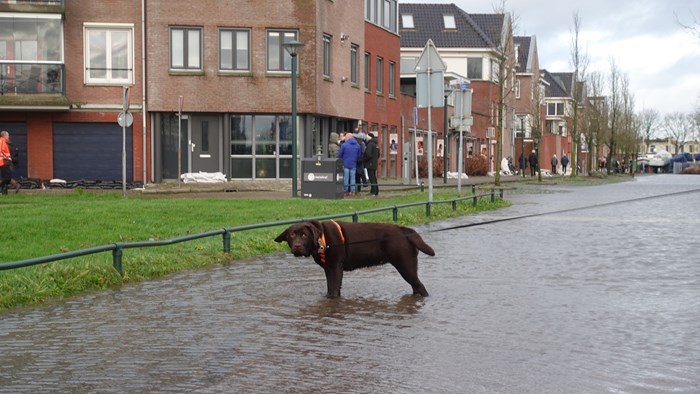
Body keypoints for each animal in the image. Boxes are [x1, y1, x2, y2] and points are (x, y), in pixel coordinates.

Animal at [272, 220, 432, 298]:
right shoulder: (329, 269)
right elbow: (331, 289)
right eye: (292, 235)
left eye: (304, 235)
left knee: (420, 287)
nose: (297, 246)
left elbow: (334, 291)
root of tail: (404, 230)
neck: (322, 239)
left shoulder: (336, 268)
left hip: (405, 266)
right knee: (416, 287)